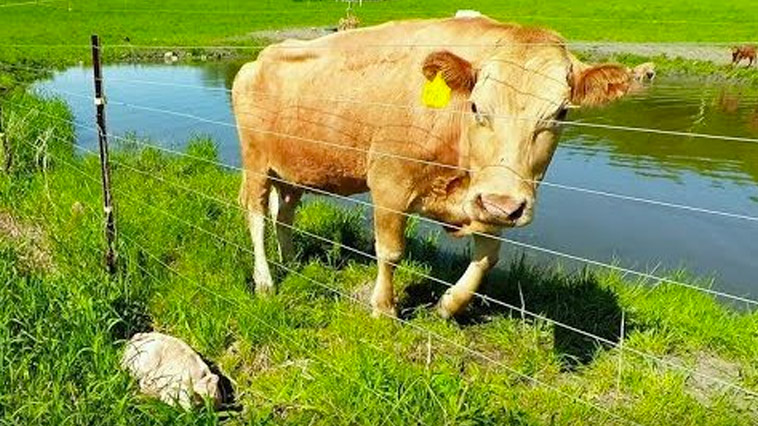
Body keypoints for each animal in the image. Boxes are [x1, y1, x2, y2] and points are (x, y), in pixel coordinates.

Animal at [232, 16, 634, 319]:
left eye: (561, 113)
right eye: (476, 106)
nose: (504, 205)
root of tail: (260, 57)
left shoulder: (484, 194)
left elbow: (488, 257)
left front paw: (449, 305)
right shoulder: (389, 184)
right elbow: (390, 251)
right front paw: (384, 309)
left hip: (292, 170)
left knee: (283, 215)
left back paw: (291, 262)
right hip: (256, 162)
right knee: (256, 214)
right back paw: (265, 280)